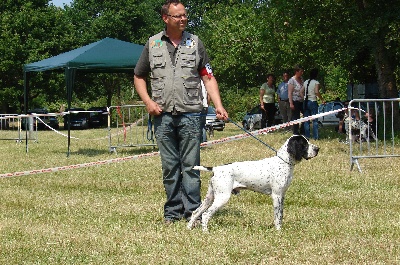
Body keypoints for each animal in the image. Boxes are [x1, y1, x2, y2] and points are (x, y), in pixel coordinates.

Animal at [188, 135, 318, 230]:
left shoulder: (282, 195)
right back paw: (205, 231)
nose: (317, 149)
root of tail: (215, 169)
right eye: (304, 144)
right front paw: (278, 231)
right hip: (222, 197)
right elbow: (277, 217)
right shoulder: (276, 196)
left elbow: (281, 215)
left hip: (210, 197)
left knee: (195, 212)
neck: (283, 162)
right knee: (205, 215)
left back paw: (189, 228)